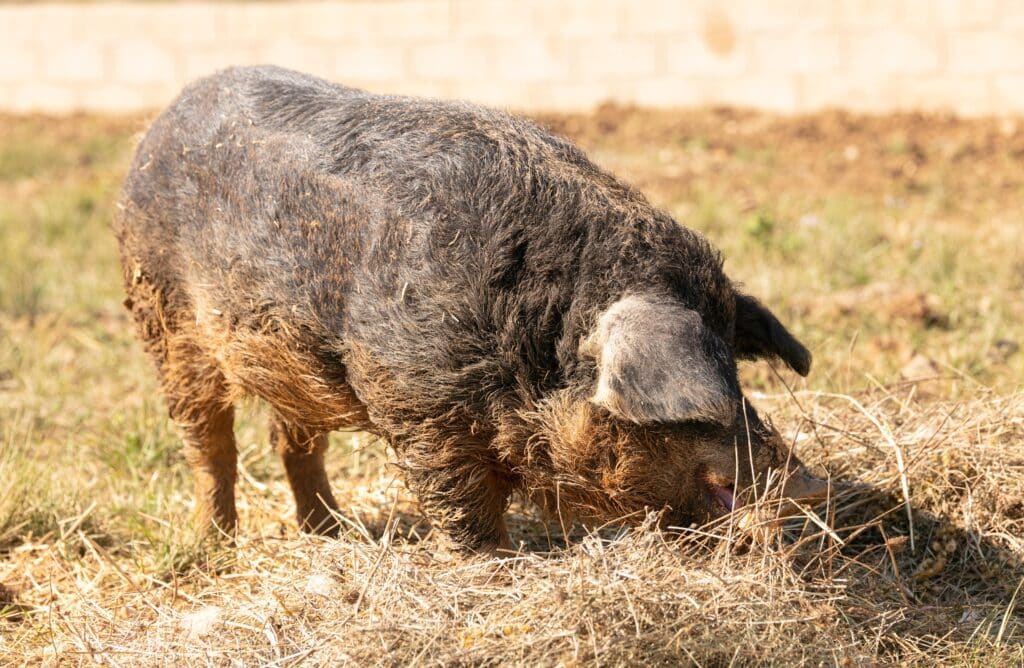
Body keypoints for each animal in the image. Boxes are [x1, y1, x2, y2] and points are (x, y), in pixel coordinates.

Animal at [116, 66, 827, 553]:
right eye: (700, 406)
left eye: (736, 368)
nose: (812, 487)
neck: (534, 338)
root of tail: (162, 118)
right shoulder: (414, 403)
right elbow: (458, 498)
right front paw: (498, 564)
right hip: (161, 316)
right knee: (210, 441)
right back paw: (215, 546)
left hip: (289, 359)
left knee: (293, 441)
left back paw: (332, 534)